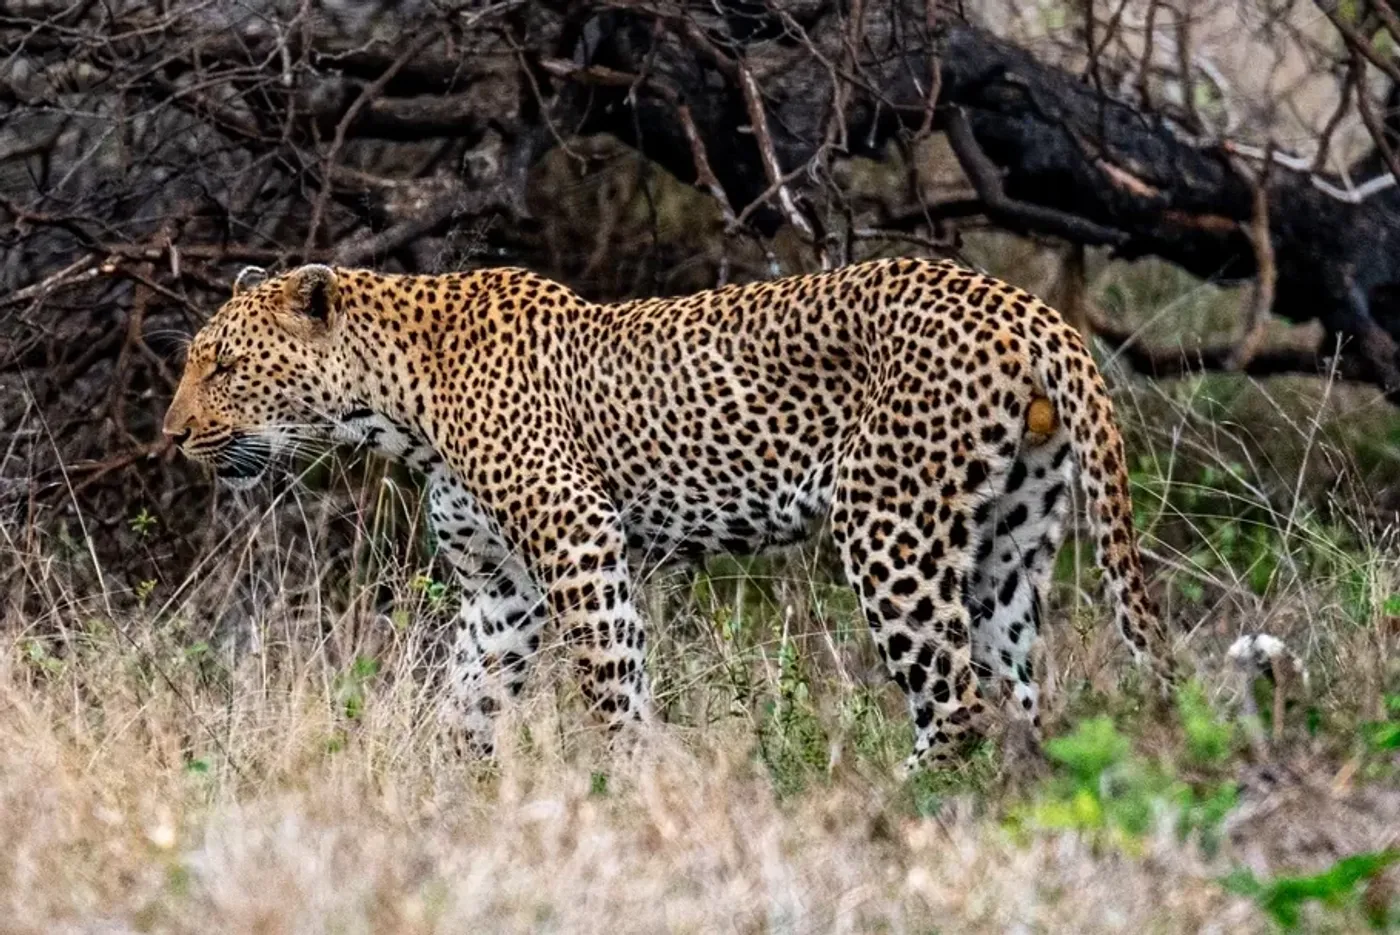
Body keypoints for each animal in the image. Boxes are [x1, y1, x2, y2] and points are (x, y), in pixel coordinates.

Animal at [162, 256, 1176, 771]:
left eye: (223, 365)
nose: (171, 435)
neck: (396, 404)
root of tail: (1031, 305)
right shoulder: (501, 588)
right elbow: (466, 698)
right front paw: (450, 796)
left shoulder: (577, 536)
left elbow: (611, 682)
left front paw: (635, 788)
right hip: (1009, 536)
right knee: (1019, 697)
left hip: (889, 526)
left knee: (954, 698)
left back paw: (897, 802)